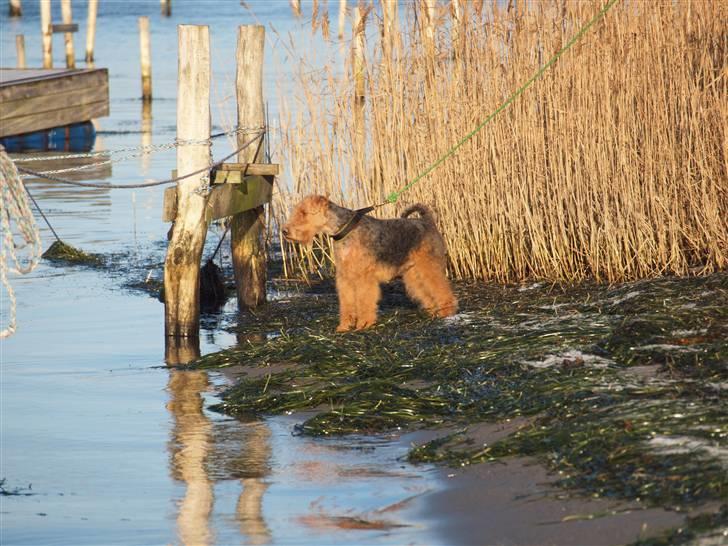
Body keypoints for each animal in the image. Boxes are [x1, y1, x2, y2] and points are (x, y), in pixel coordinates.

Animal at [282, 196, 458, 332]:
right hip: (413, 273)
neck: (345, 230)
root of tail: (427, 221)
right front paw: (344, 327)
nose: (284, 231)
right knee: (425, 292)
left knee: (441, 289)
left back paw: (446, 312)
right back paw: (433, 312)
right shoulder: (345, 278)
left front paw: (364, 324)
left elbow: (364, 301)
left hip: (428, 267)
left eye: (304, 213)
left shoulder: (364, 278)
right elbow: (347, 303)